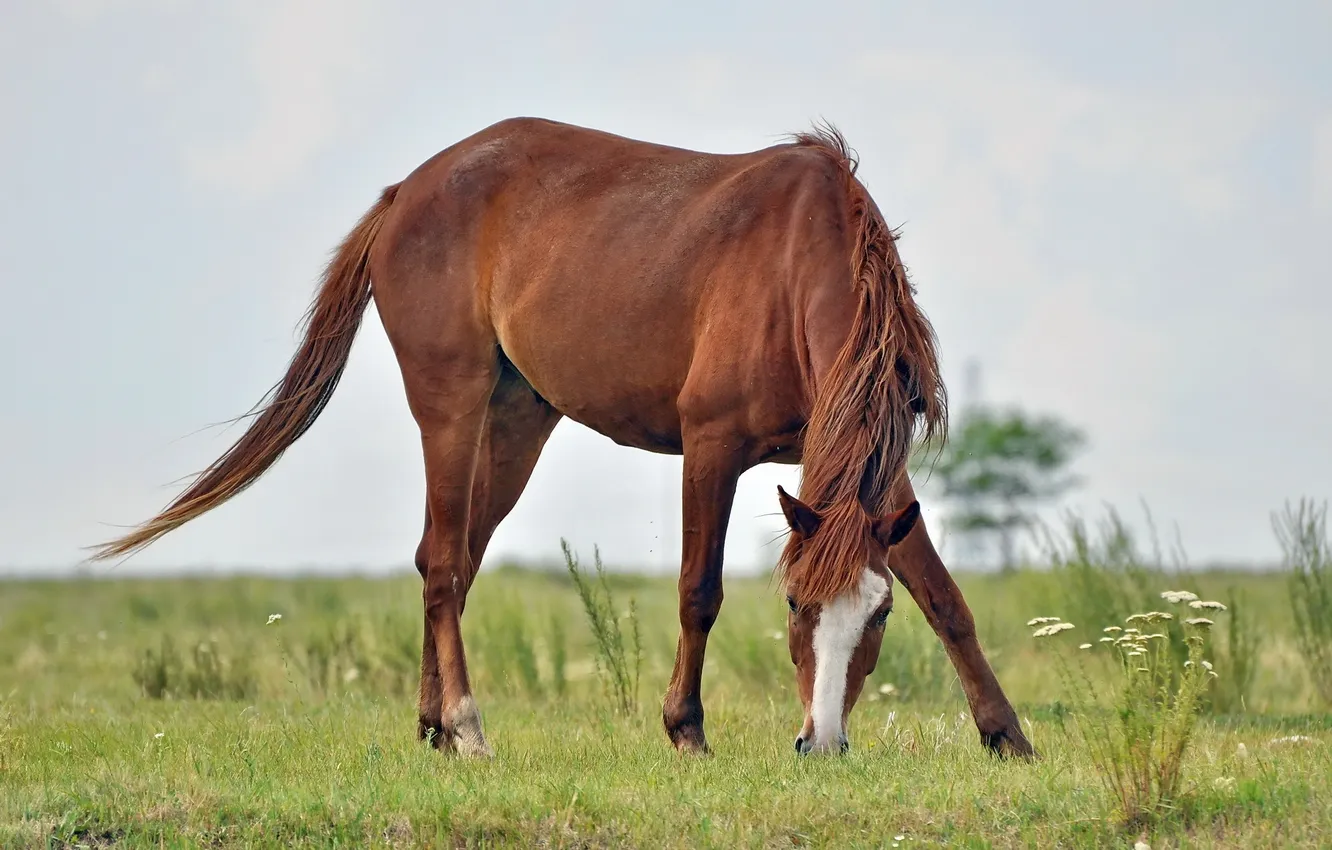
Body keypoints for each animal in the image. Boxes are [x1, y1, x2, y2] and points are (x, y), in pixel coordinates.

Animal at [91, 117, 1034, 759]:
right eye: (796, 607)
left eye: (876, 617)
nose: (824, 742)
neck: (796, 262)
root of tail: (406, 192)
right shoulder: (711, 449)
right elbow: (699, 591)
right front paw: (685, 729)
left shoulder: (868, 477)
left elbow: (945, 597)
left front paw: (1006, 734)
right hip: (451, 405)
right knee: (443, 561)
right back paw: (467, 727)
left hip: (518, 422)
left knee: (449, 562)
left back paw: (433, 727)